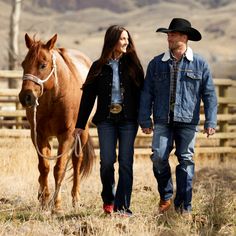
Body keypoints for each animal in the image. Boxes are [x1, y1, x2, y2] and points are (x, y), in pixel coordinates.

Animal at [18, 32, 96, 212]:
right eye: (23, 64)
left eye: (43, 65)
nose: (26, 97)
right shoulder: (38, 135)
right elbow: (44, 167)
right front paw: (44, 200)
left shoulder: (66, 135)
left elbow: (59, 169)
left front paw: (57, 205)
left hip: (83, 133)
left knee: (77, 161)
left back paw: (76, 199)